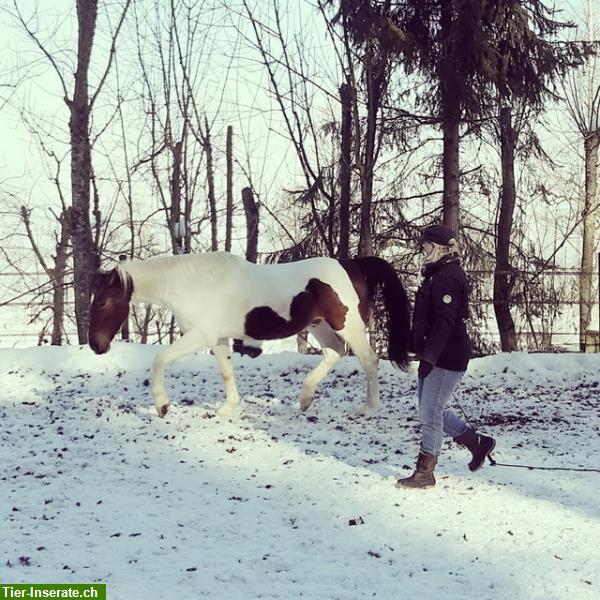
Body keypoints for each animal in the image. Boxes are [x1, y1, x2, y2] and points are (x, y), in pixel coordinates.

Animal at [86, 252, 410, 418]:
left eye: (101, 302)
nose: (96, 346)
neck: (192, 284)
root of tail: (352, 264)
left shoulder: (200, 336)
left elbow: (160, 359)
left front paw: (162, 405)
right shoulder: (217, 338)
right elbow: (226, 370)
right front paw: (228, 407)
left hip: (348, 325)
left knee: (369, 360)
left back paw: (369, 408)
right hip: (320, 326)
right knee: (335, 353)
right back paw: (305, 399)